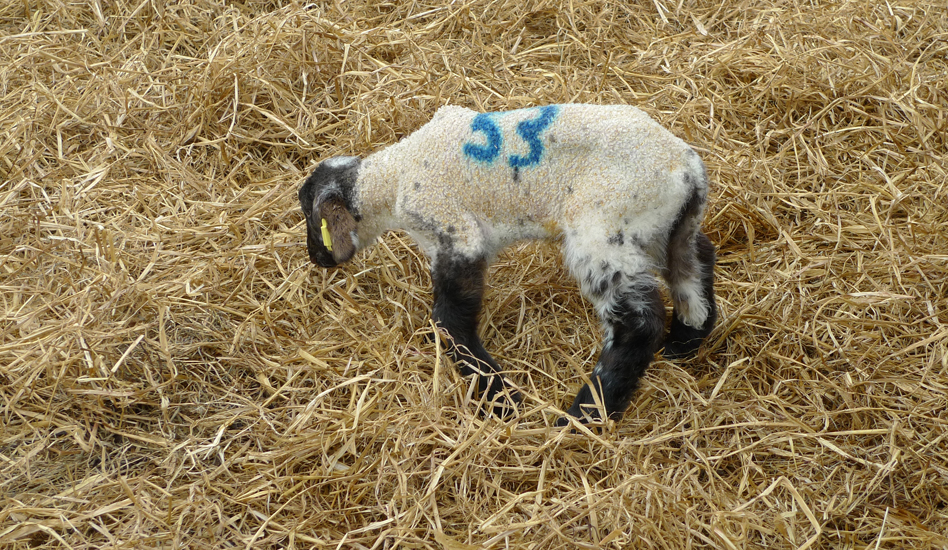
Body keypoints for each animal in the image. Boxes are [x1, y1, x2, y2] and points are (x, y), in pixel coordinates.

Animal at [299, 104, 716, 424]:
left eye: (309, 214)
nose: (317, 258)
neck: (393, 178)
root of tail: (689, 169)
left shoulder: (454, 230)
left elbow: (448, 319)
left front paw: (499, 397)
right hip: (671, 228)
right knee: (696, 264)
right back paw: (683, 344)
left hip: (606, 228)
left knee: (640, 323)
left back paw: (586, 414)